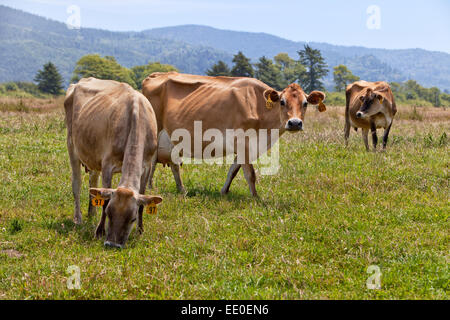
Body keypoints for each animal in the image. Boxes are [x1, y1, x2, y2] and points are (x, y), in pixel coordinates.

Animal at [63, 77, 162, 248]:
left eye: (132, 218)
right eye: (109, 213)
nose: (113, 244)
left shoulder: (147, 166)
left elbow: (142, 204)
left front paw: (140, 231)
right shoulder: (107, 164)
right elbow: (105, 199)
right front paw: (99, 231)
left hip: (93, 156)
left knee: (93, 183)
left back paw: (91, 213)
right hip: (72, 146)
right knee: (76, 184)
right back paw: (78, 218)